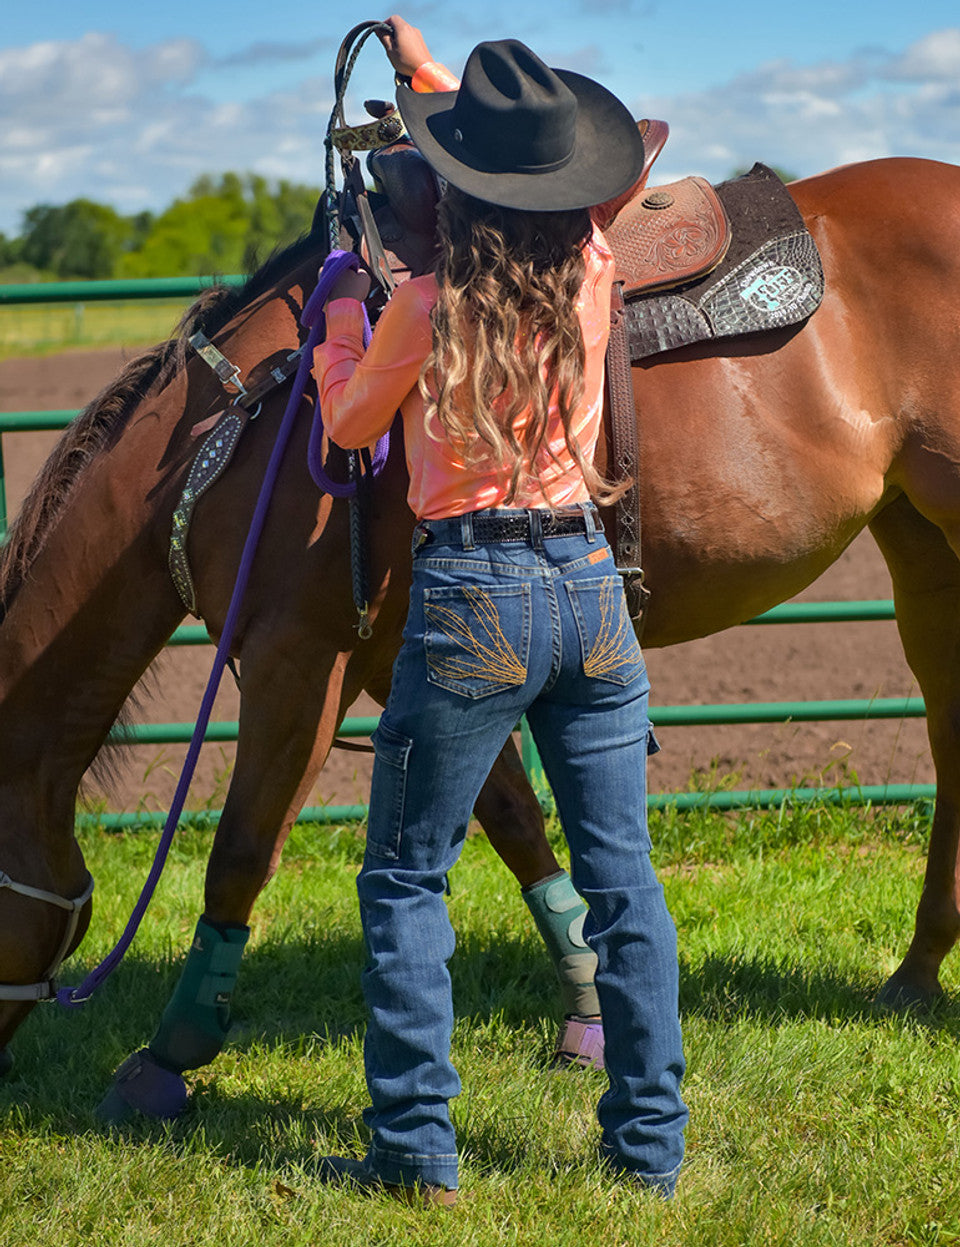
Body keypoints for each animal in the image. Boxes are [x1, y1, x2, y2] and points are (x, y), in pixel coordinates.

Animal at [1, 155, 957, 1082]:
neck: (235, 434)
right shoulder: (438, 657)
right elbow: (514, 822)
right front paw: (587, 1006)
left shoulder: (298, 661)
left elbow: (241, 849)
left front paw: (172, 1052)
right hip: (919, 541)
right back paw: (915, 973)